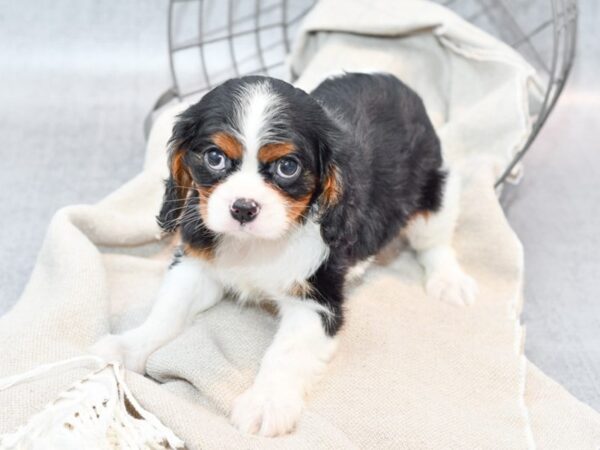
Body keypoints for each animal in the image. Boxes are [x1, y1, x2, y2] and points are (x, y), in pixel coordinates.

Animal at [92, 73, 478, 436]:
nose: (243, 208)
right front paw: (127, 348)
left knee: (435, 242)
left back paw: (449, 281)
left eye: (287, 167)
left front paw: (267, 403)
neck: (257, 246)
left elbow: (285, 354)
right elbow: (167, 312)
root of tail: (397, 82)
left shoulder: (316, 301)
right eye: (215, 158)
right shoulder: (196, 265)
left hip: (435, 191)